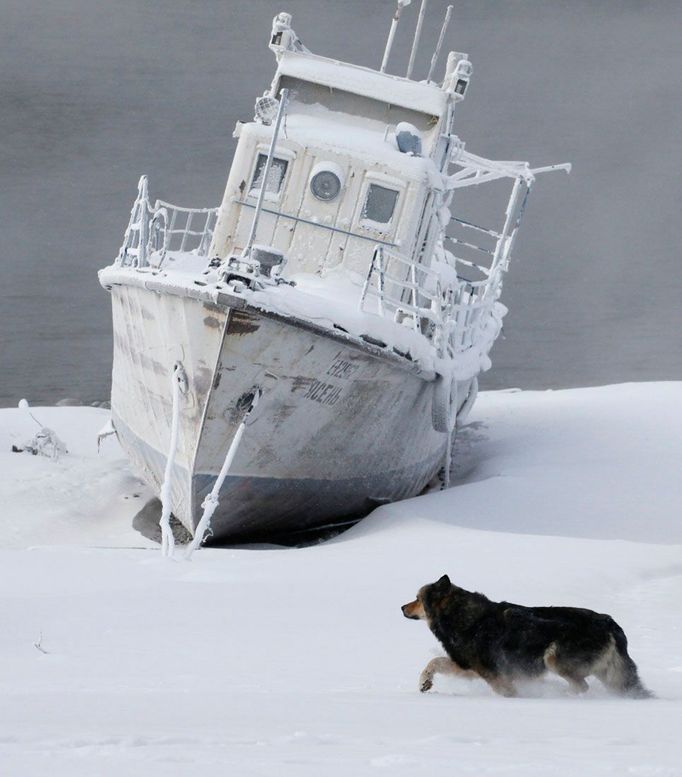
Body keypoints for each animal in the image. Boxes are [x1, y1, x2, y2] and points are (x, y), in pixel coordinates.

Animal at [402, 576, 652, 696]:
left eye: (417, 598)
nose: (402, 607)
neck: (459, 614)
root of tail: (610, 623)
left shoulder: (494, 674)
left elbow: (507, 692)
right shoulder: (468, 667)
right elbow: (434, 662)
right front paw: (424, 683)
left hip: (553, 659)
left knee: (581, 687)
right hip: (606, 673)